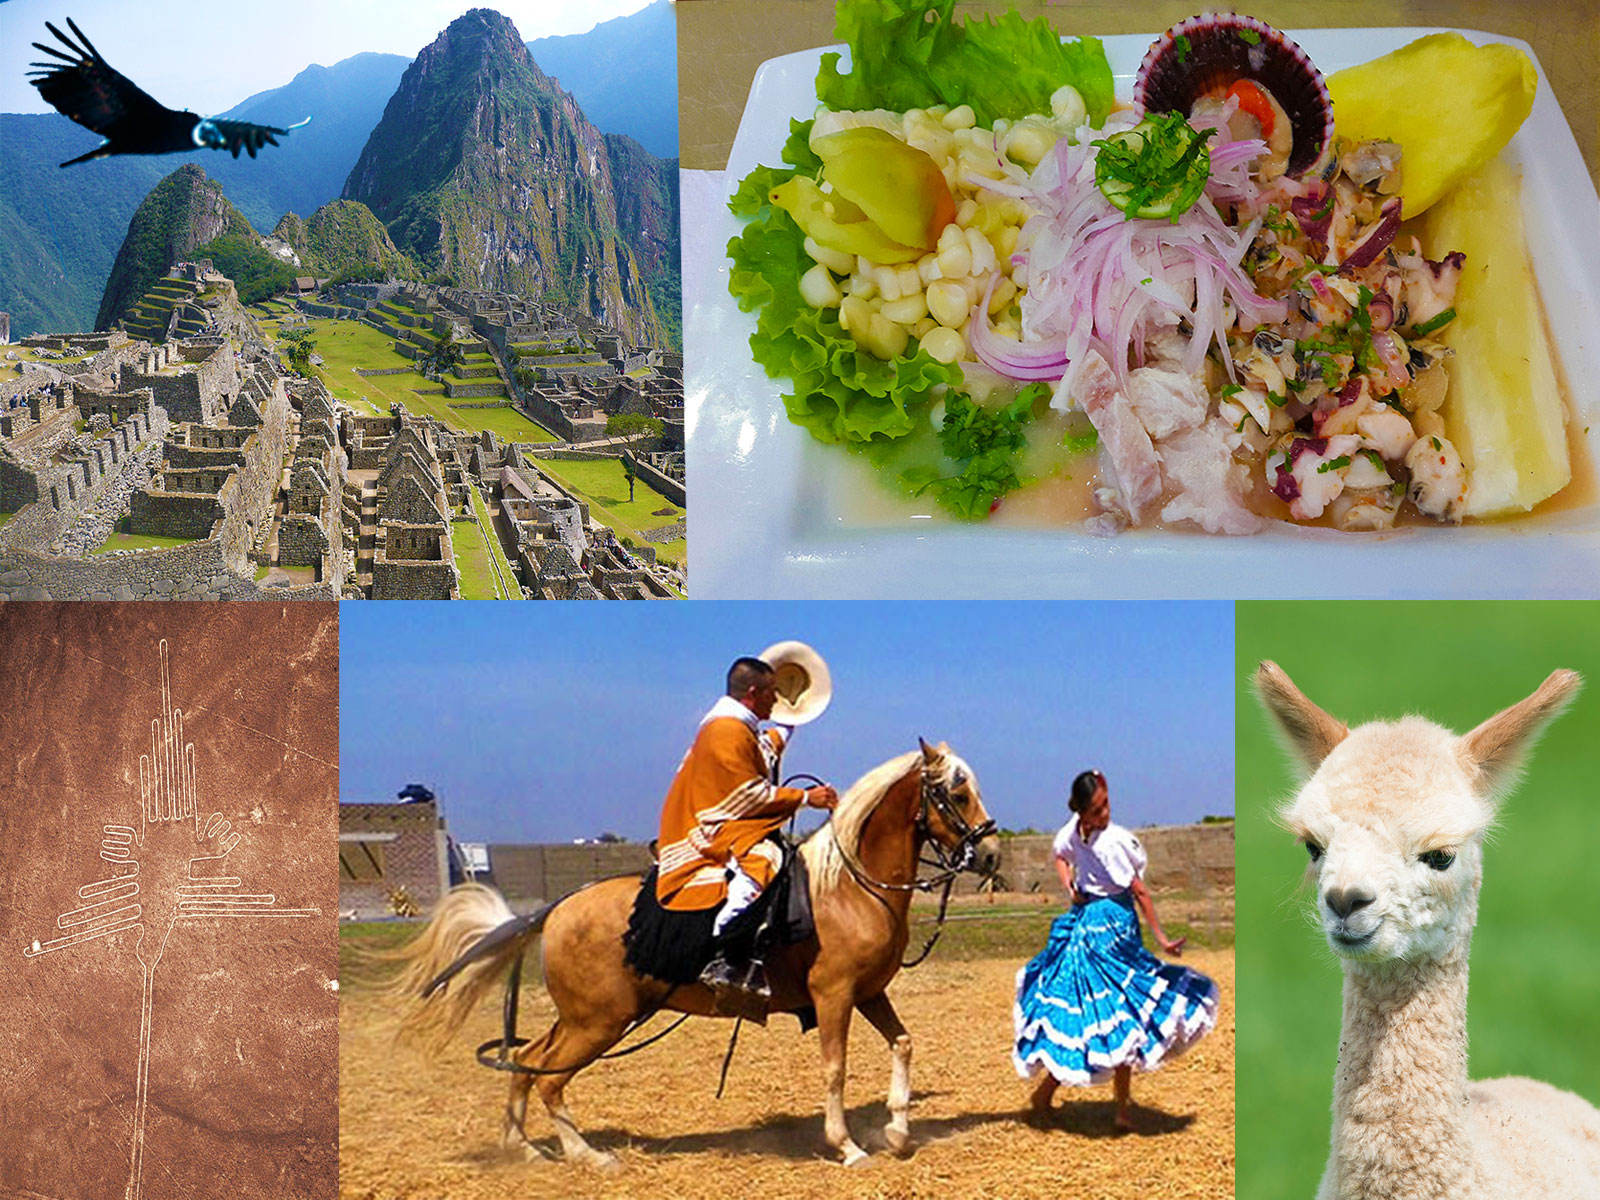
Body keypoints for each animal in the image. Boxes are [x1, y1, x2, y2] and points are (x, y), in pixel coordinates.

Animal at [379, 739, 992, 1171]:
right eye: (957, 793)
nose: (987, 852)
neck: (847, 886)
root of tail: (556, 910)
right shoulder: (834, 997)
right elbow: (835, 1068)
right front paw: (847, 1146)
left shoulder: (869, 992)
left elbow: (903, 1044)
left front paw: (897, 1131)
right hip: (600, 1021)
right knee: (551, 1080)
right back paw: (588, 1156)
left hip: (582, 1017)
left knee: (528, 1058)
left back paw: (522, 1147)